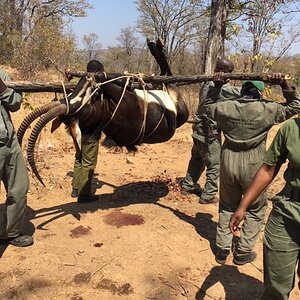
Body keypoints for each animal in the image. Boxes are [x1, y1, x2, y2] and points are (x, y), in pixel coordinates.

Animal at [17, 39, 189, 185]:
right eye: (81, 104)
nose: (87, 77)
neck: (106, 112)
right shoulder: (123, 100)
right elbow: (107, 78)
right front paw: (100, 77)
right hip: (180, 107)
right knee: (169, 78)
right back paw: (156, 46)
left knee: (162, 79)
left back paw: (154, 48)